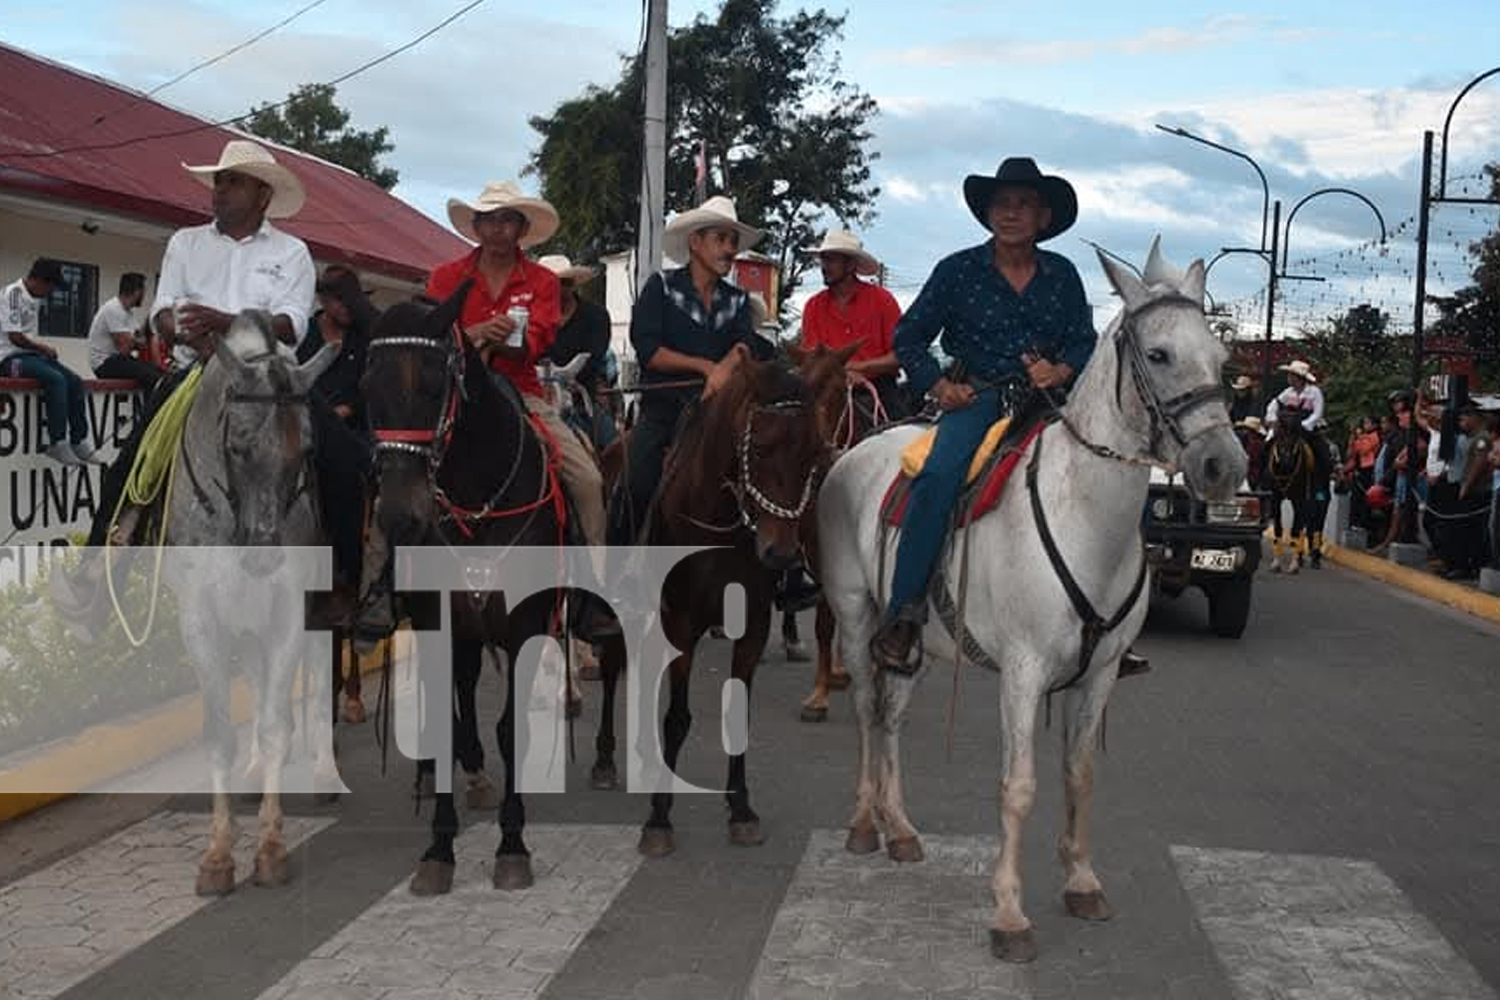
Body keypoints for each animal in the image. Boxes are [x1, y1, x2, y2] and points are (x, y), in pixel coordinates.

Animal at [816, 239, 1248, 959]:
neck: (1087, 517)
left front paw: (1081, 881)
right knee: (865, 712)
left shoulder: (1100, 674)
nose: (1225, 467)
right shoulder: (1022, 673)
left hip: (917, 642)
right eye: (1159, 354)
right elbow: (1018, 787)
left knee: (893, 716)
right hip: (853, 617)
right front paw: (1009, 914)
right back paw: (861, 821)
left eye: (1222, 360)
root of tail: (856, 451)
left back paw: (899, 827)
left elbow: (1080, 774)